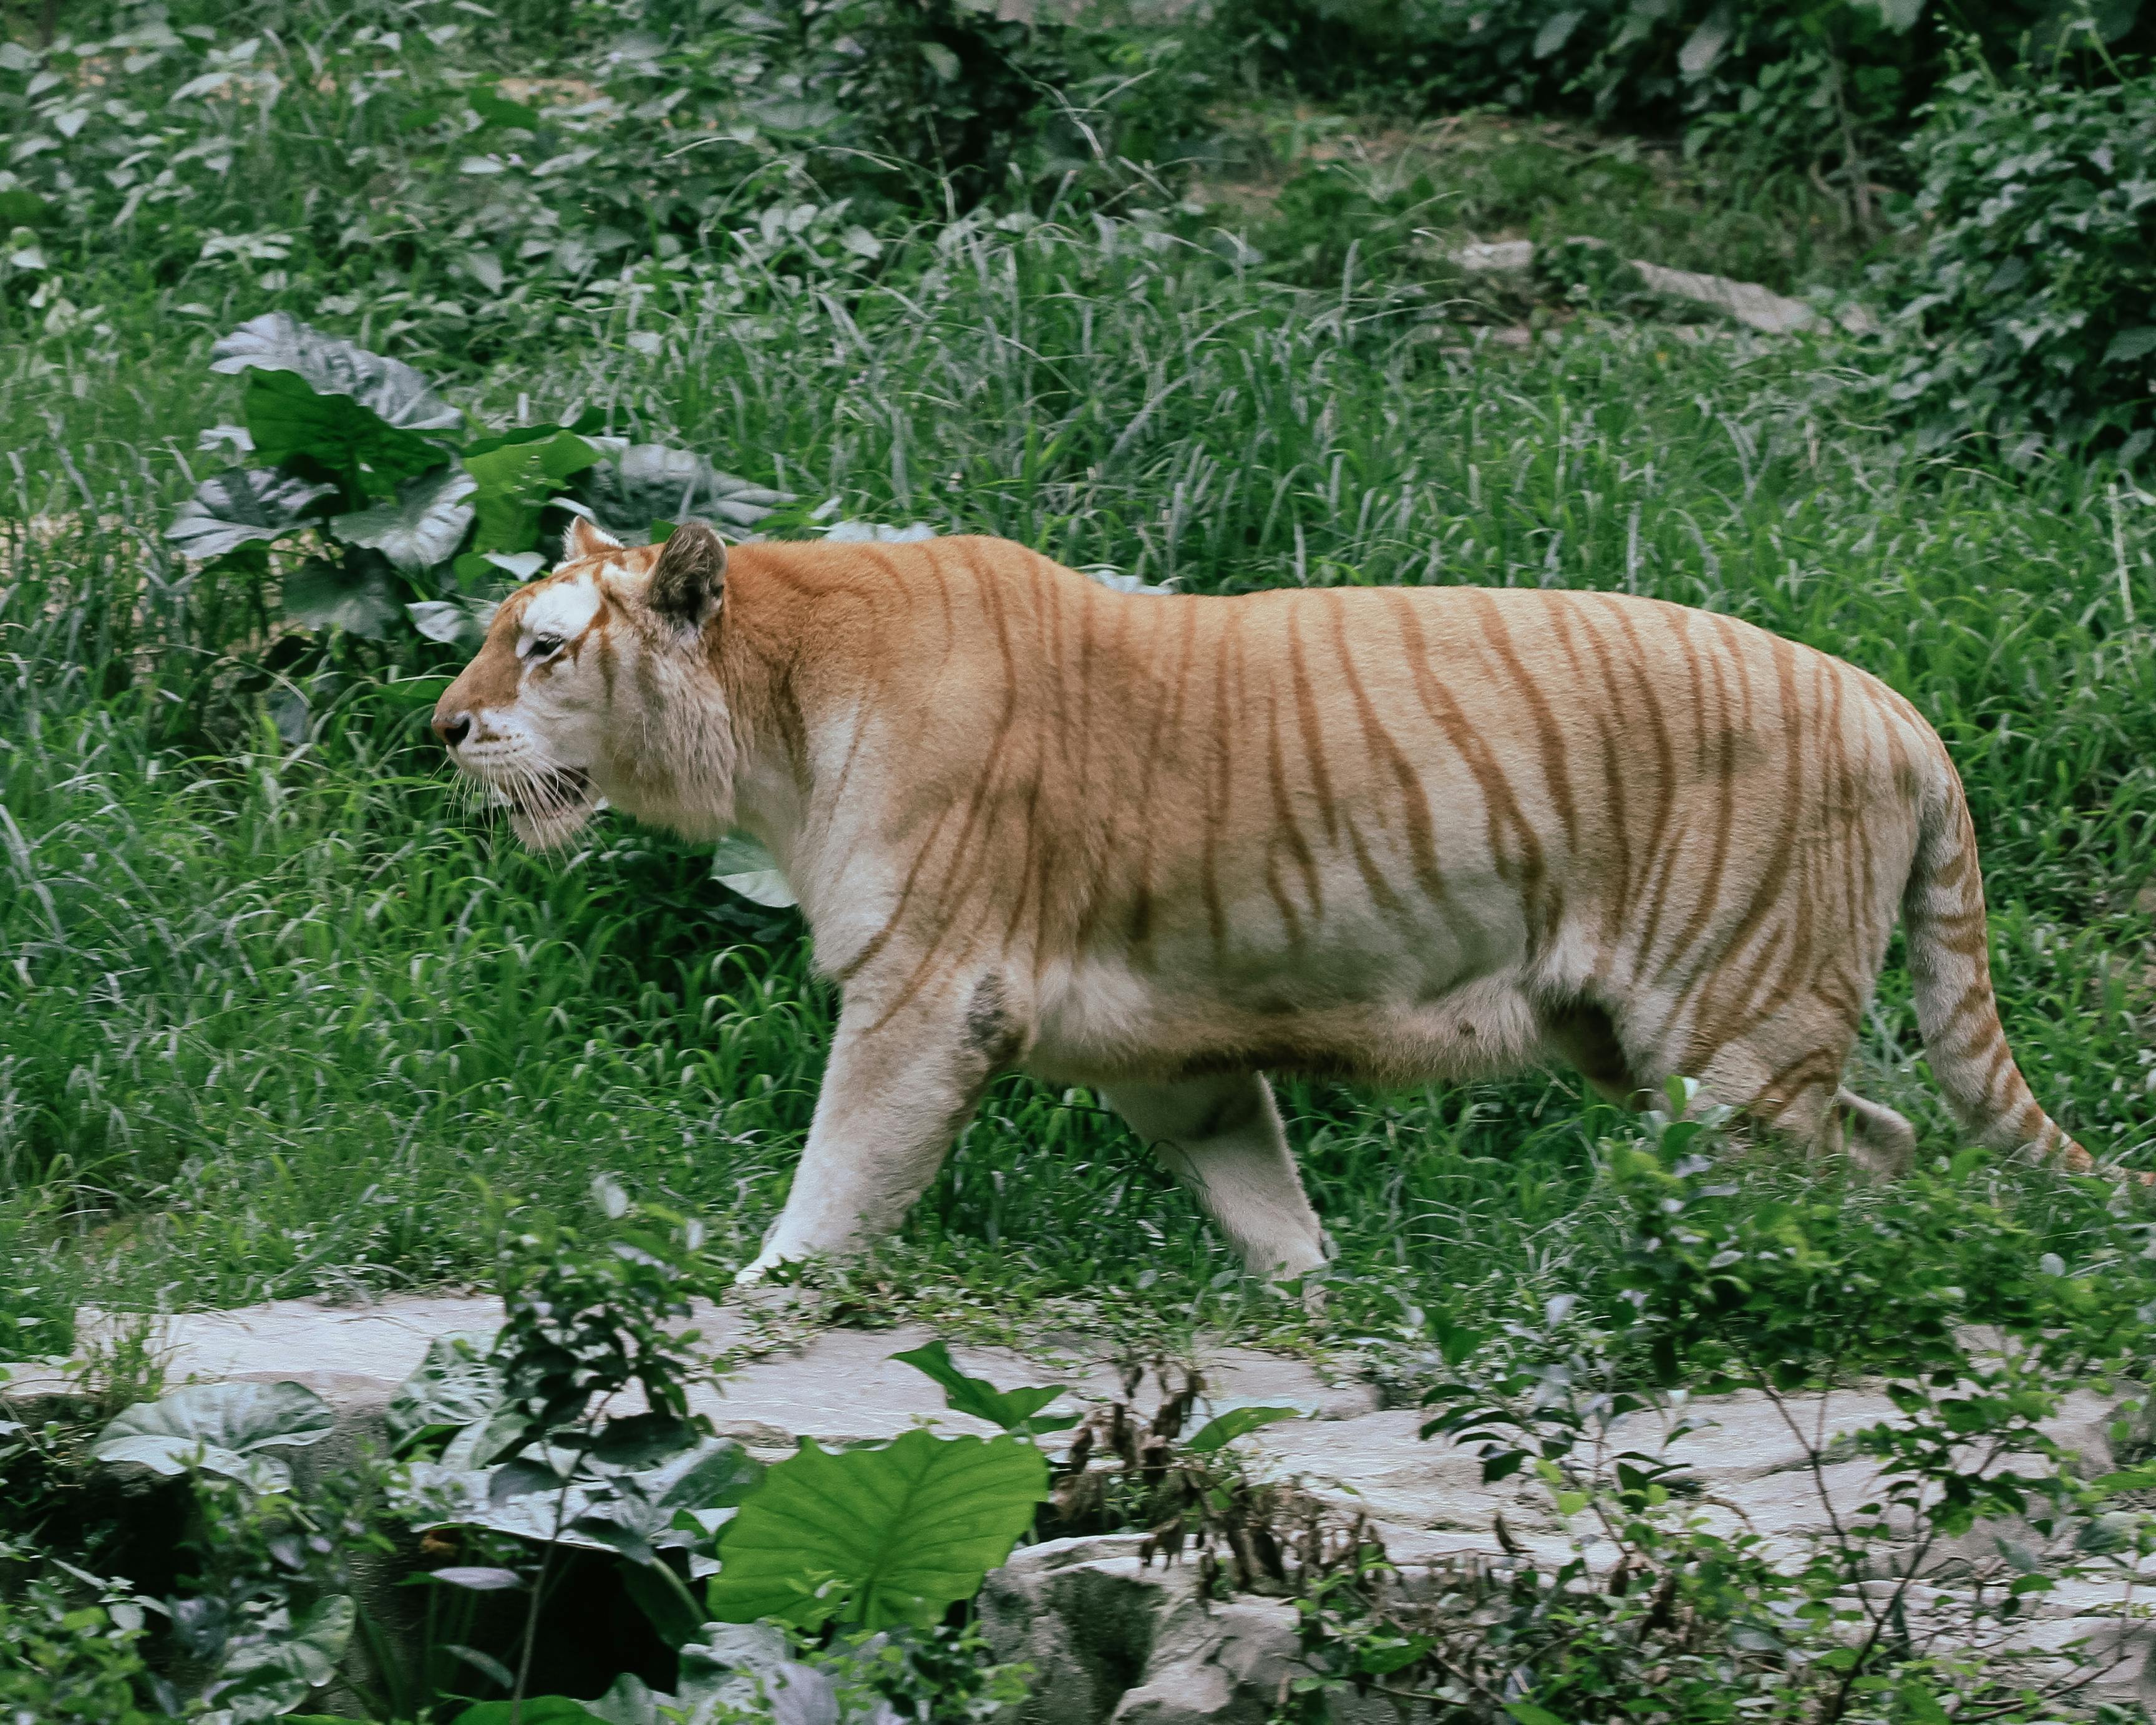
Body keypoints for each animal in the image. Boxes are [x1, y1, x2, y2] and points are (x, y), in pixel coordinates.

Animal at [429, 513, 2095, 1276]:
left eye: (545, 648)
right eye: (501, 628)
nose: (442, 729)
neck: (771, 725)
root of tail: (1894, 706)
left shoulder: (926, 995)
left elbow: (838, 1177)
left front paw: (758, 1290)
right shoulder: (1173, 1056)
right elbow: (1265, 1203)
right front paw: (1319, 1299)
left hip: (1729, 1032)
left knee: (1842, 1157)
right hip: (1648, 1041)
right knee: (1881, 1139)